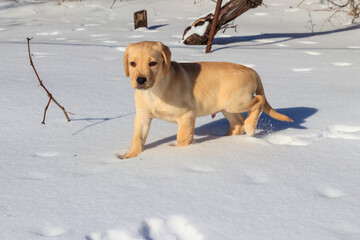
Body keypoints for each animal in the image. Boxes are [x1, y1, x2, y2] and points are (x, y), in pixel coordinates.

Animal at [119, 40, 292, 158]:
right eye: (132, 63)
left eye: (153, 63)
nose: (141, 80)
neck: (155, 90)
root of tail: (251, 70)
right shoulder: (143, 116)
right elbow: (137, 138)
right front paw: (130, 156)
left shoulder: (187, 115)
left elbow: (182, 138)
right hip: (226, 107)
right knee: (237, 122)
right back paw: (225, 138)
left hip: (237, 102)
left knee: (259, 101)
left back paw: (250, 126)